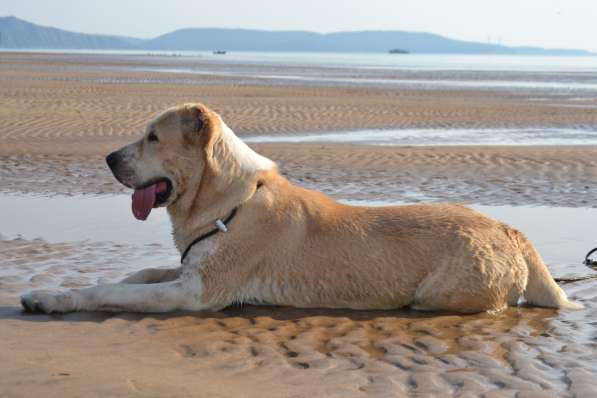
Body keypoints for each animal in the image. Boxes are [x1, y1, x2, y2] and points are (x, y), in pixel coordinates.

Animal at [19, 102, 584, 314]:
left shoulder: (194, 293)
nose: (109, 158)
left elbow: (111, 291)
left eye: (153, 138)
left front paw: (52, 298)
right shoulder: (186, 270)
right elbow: (136, 274)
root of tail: (511, 230)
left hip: (441, 293)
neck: (228, 201)